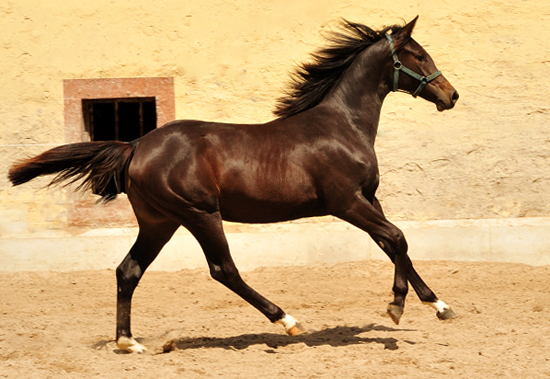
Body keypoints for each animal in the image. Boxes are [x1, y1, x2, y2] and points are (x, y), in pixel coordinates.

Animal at [8, 16, 462, 354]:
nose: (451, 96)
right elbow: (397, 238)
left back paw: (128, 342)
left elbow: (394, 245)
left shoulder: (369, 198)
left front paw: (439, 305)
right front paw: (396, 306)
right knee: (222, 269)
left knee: (129, 269)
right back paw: (287, 320)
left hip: (159, 221)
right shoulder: (347, 202)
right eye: (419, 55)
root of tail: (136, 145)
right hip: (200, 214)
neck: (342, 125)